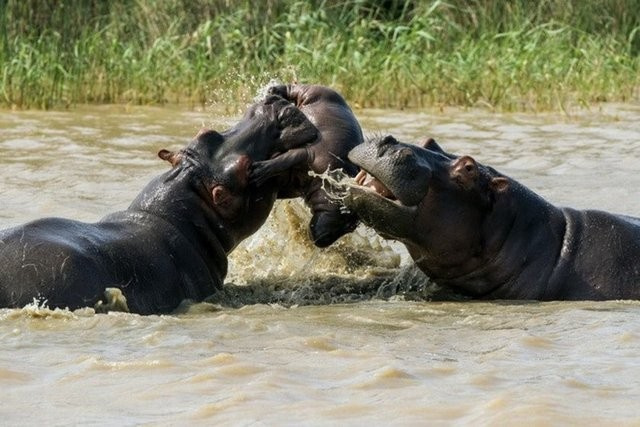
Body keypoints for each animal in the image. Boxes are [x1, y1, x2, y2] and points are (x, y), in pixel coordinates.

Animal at [249, 83, 362, 247]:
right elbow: (286, 159)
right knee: (294, 87)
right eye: (345, 216)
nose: (322, 242)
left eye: (351, 228)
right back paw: (274, 90)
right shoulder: (309, 154)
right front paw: (258, 171)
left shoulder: (296, 184)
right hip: (310, 92)